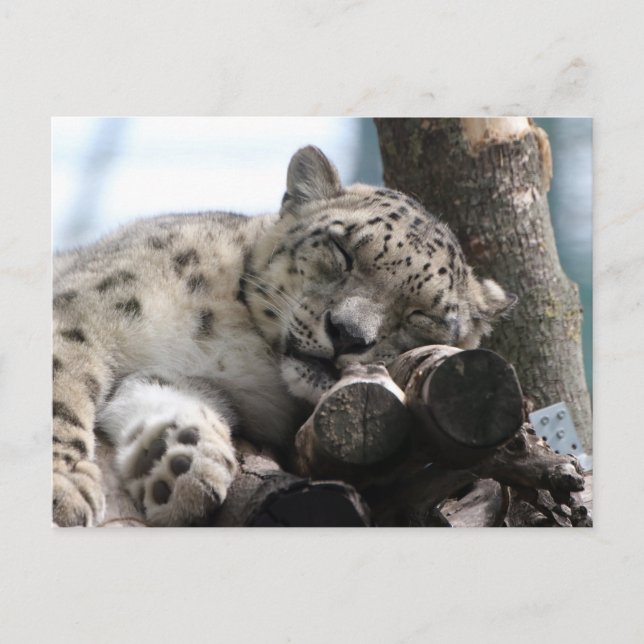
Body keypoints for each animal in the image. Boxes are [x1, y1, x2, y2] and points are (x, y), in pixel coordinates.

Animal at [52, 145, 515, 527]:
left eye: (422, 315)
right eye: (343, 251)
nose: (348, 334)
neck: (235, 344)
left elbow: (166, 392)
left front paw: (180, 460)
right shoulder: (84, 312)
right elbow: (62, 388)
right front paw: (64, 490)